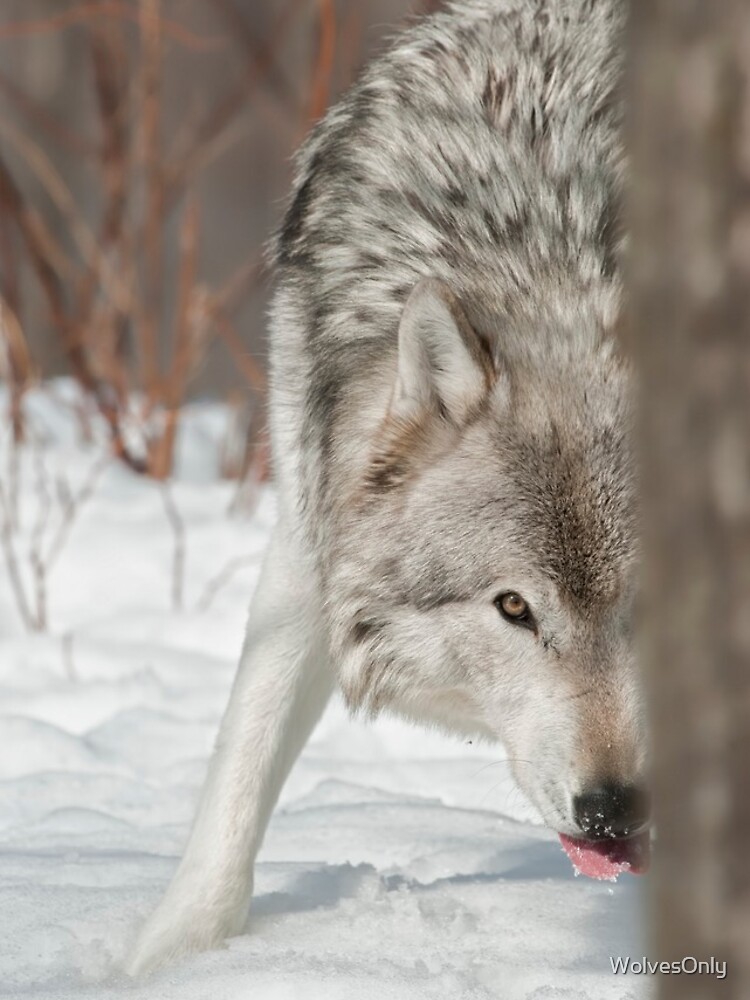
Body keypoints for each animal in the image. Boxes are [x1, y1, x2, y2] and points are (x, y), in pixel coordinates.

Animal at [128, 0, 650, 975]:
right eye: (514, 607)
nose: (616, 809)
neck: (560, 256)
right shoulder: (315, 529)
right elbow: (241, 765)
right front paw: (167, 959)